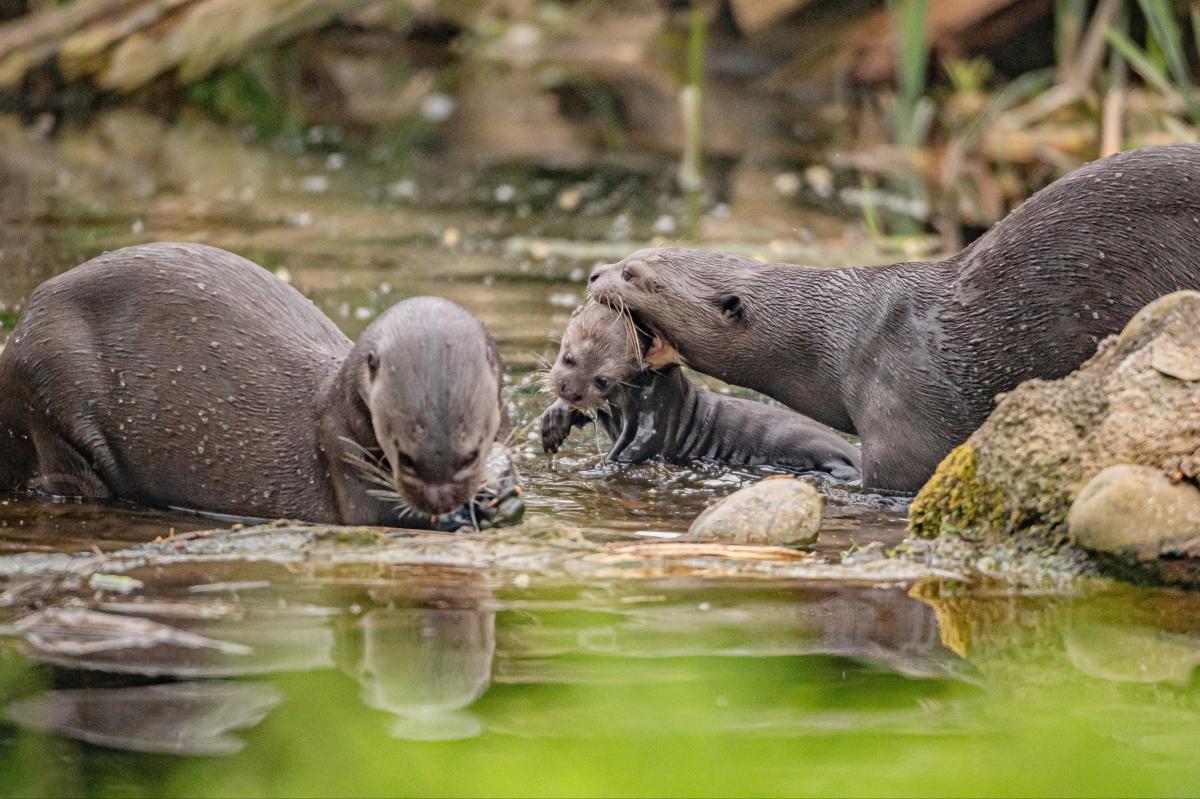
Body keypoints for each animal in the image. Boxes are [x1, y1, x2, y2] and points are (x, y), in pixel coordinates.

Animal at [0, 243, 522, 530]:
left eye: (471, 455)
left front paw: (504, 493)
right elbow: (377, 512)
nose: (441, 500)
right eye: (406, 460)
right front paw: (459, 516)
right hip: (49, 387)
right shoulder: (340, 444)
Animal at [540, 303, 861, 480]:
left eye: (602, 380)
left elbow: (634, 449)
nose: (570, 390)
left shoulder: (653, 421)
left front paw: (598, 465)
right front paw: (554, 422)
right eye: (568, 358)